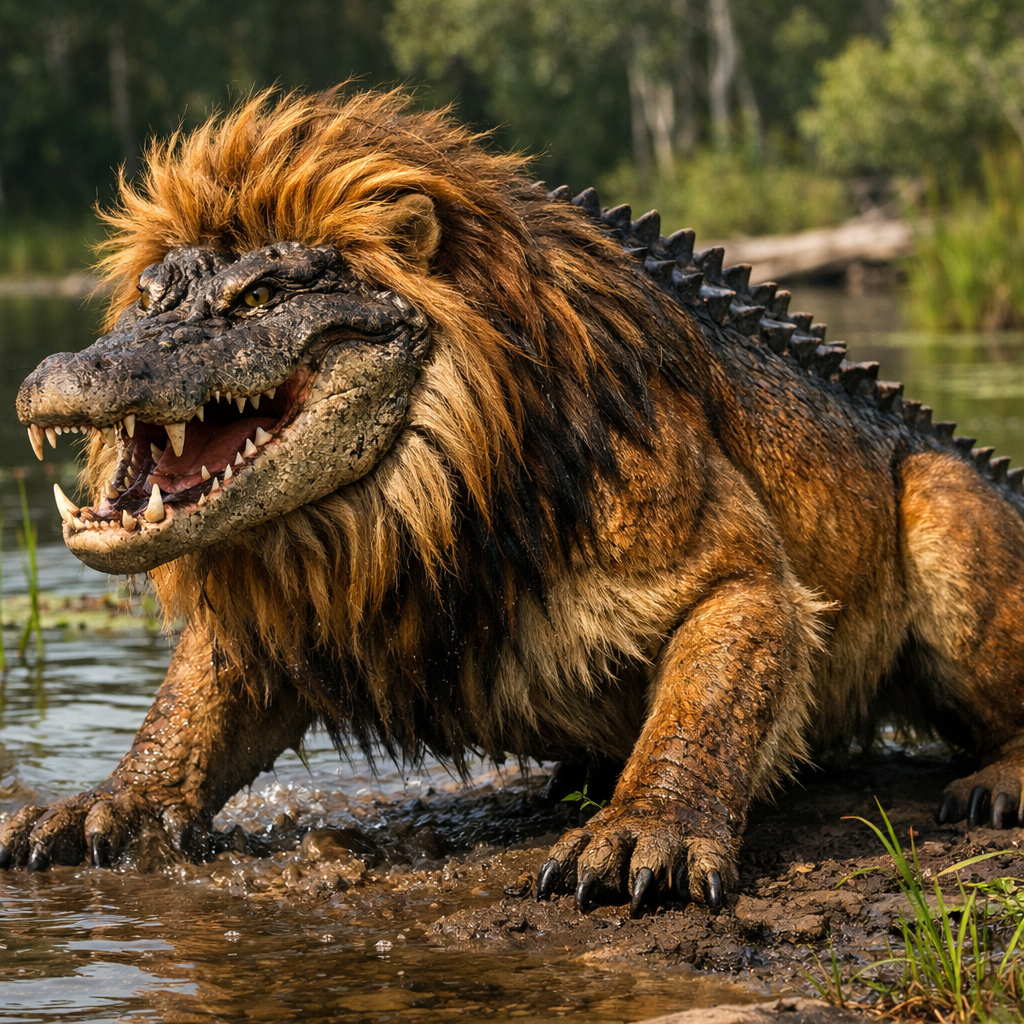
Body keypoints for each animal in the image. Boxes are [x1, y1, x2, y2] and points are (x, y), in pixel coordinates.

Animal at [5, 89, 1024, 917]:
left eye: (257, 296)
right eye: (150, 293)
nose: (63, 373)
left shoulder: (722, 555)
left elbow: (707, 697)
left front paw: (642, 830)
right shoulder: (272, 609)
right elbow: (191, 707)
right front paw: (106, 804)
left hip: (944, 506)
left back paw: (998, 783)